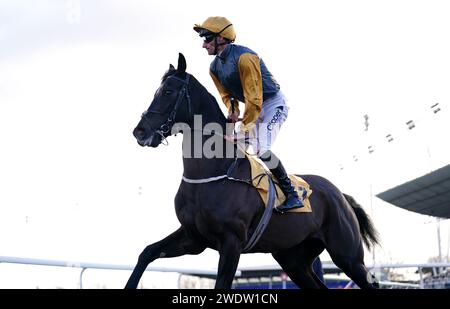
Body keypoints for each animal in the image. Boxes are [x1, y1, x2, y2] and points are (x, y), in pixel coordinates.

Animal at [126, 53, 380, 288]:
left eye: (168, 91)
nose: (140, 131)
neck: (214, 172)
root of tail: (341, 196)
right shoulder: (193, 237)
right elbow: (147, 252)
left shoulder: (231, 243)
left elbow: (222, 283)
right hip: (293, 259)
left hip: (347, 255)